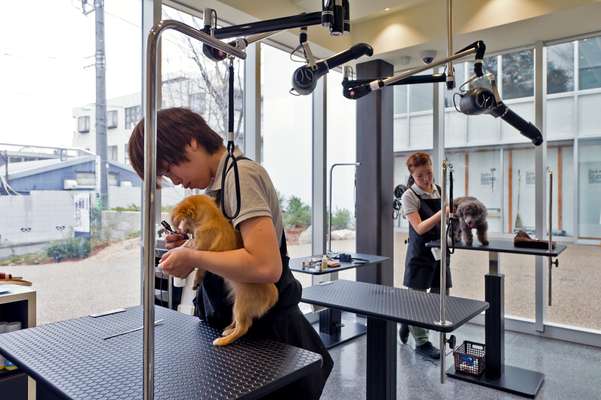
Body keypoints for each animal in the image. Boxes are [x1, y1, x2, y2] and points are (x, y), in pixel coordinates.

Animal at [170, 195, 278, 346]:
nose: (180, 231)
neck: (212, 219)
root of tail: (271, 295)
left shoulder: (200, 249)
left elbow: (195, 258)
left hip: (241, 306)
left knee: (243, 327)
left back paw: (223, 340)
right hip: (237, 305)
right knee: (238, 322)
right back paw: (228, 330)